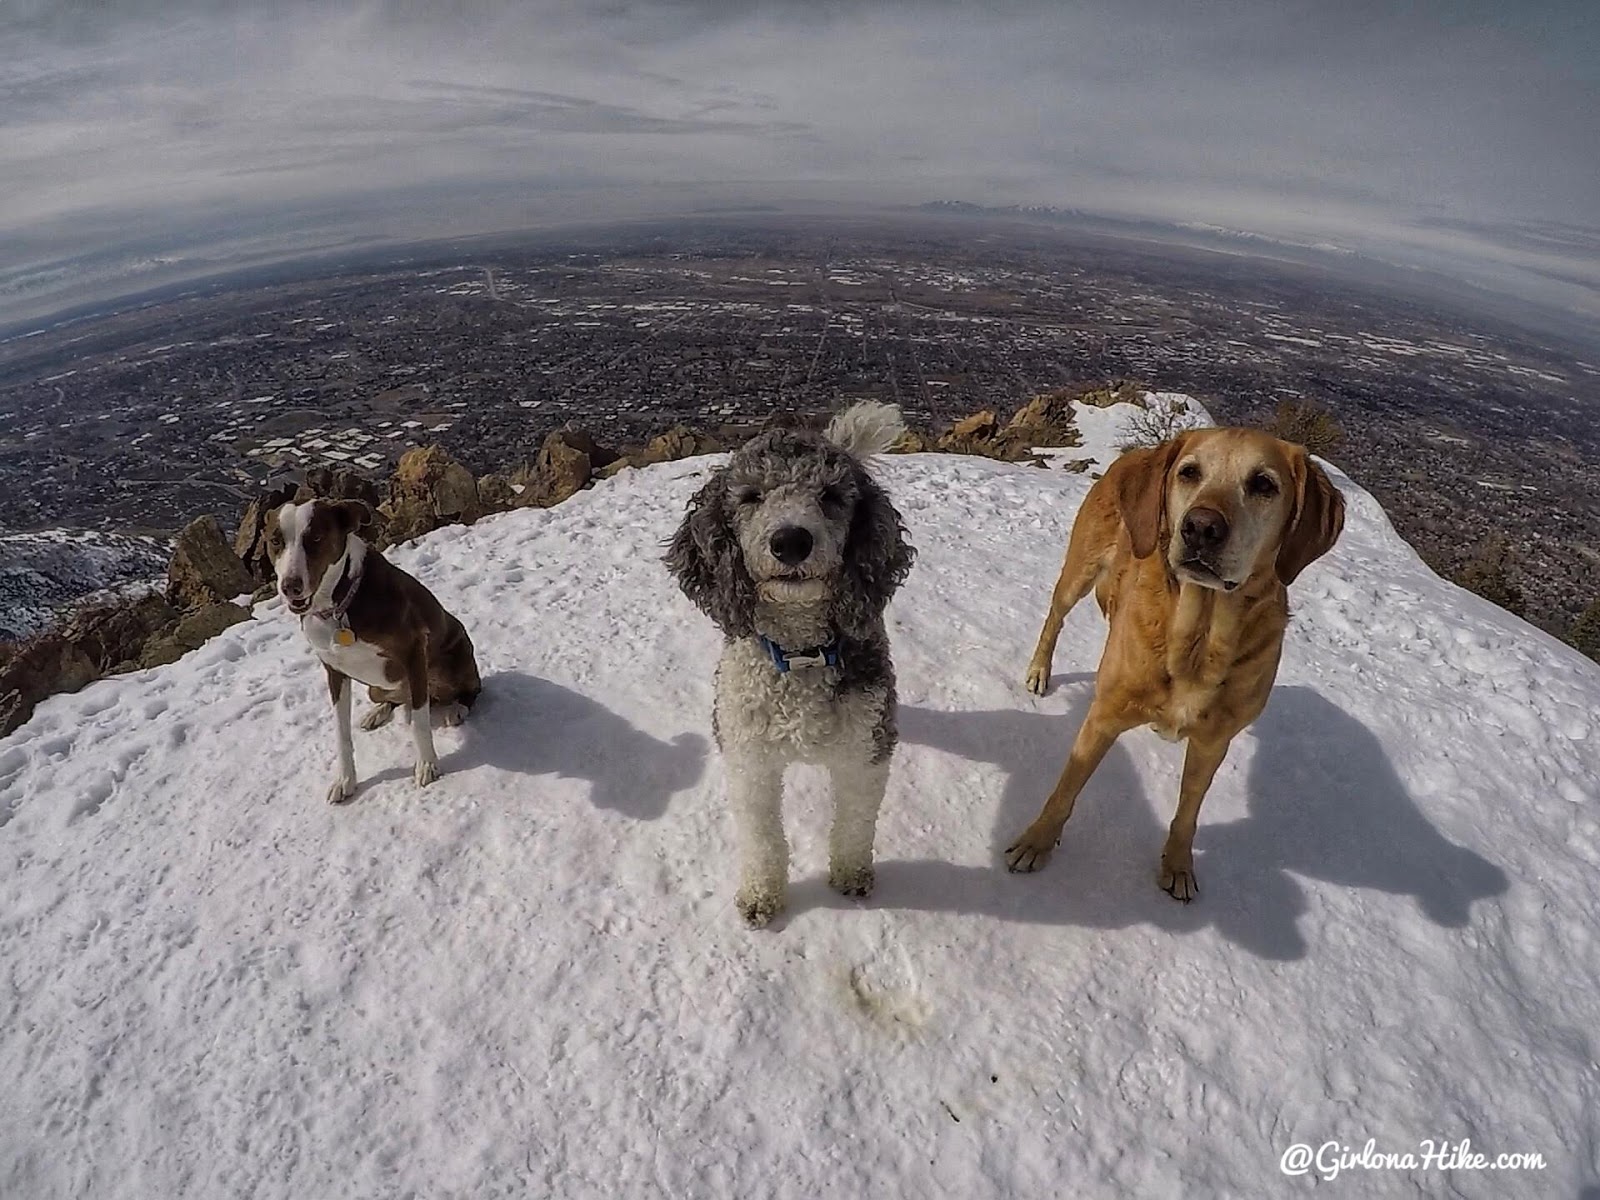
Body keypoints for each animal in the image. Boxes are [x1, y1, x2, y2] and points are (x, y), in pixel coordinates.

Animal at [265, 499, 480, 809]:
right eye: (275, 541)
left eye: (315, 538)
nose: (290, 586)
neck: (339, 605)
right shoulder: (334, 672)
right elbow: (342, 733)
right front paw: (345, 781)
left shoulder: (414, 651)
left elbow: (420, 723)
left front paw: (427, 765)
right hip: (374, 688)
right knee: (393, 699)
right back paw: (377, 713)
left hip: (456, 658)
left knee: (469, 689)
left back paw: (457, 708)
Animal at [1011, 428, 1337, 902]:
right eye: (1189, 473)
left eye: (1264, 484)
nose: (1201, 527)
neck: (1199, 640)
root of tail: (1137, 455)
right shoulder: (1103, 719)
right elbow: (1066, 789)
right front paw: (1036, 842)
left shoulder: (1212, 745)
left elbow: (1189, 811)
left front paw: (1179, 866)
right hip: (1078, 572)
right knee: (1055, 616)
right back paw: (1039, 670)